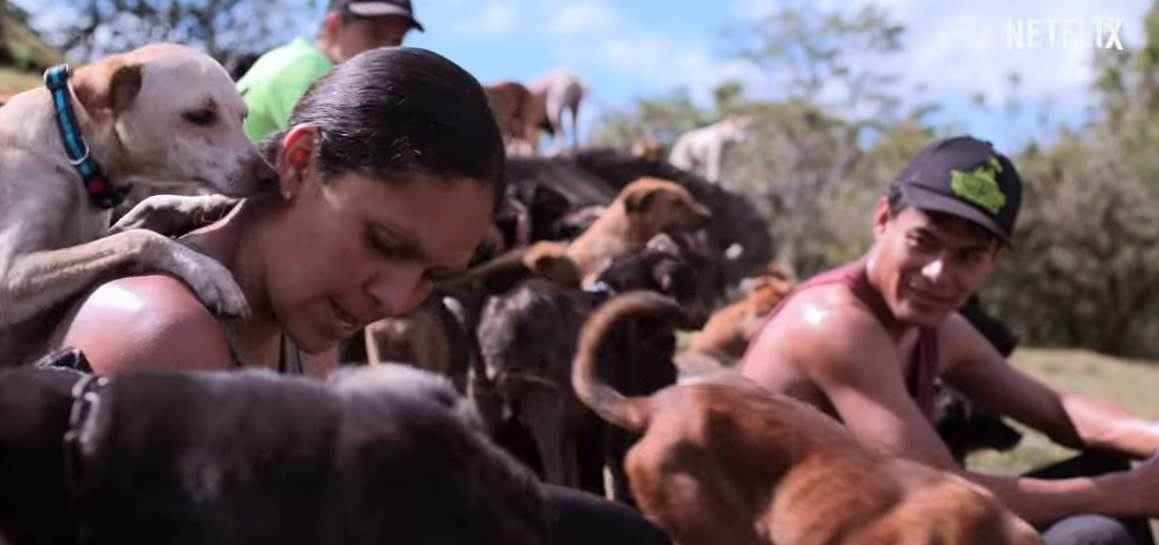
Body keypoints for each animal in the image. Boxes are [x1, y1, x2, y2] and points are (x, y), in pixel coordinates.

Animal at [0, 43, 268, 366]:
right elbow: (140, 238)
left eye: (243, 117)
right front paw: (206, 271)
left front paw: (209, 202)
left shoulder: (95, 235)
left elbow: (149, 206)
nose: (271, 175)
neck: (72, 149)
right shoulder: (11, 275)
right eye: (200, 115)